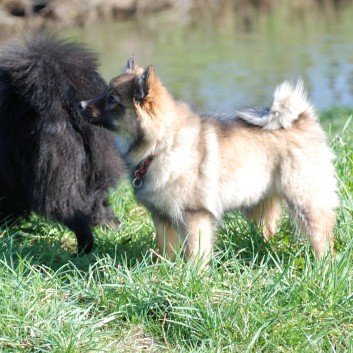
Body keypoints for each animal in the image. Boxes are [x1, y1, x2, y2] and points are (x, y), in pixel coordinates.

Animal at [0, 33, 124, 253]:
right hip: (98, 163)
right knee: (98, 202)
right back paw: (110, 225)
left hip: (56, 169)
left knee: (72, 212)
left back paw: (83, 250)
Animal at [80, 57, 338, 266]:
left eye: (111, 99)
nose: (80, 104)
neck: (162, 144)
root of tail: (302, 119)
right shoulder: (163, 217)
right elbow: (165, 248)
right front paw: (162, 269)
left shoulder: (195, 216)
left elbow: (195, 252)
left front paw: (192, 275)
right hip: (261, 204)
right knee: (269, 229)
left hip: (304, 199)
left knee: (321, 234)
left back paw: (324, 264)